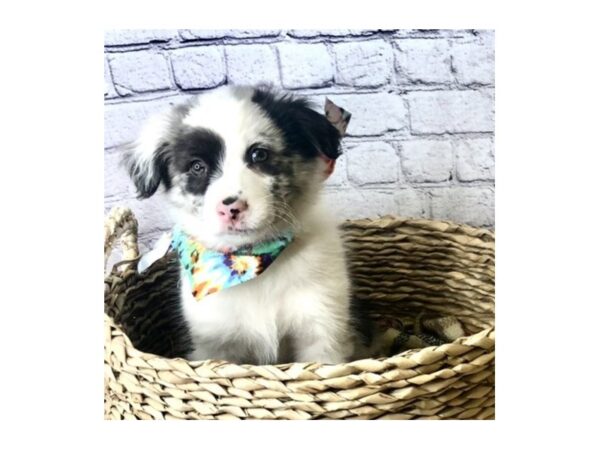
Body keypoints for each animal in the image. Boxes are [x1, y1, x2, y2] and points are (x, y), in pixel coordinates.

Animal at [123, 85, 370, 366]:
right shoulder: (215, 345)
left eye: (258, 154)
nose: (231, 209)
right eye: (197, 166)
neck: (253, 260)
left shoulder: (322, 331)